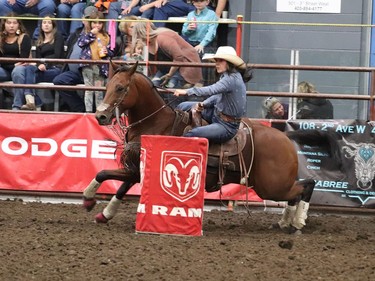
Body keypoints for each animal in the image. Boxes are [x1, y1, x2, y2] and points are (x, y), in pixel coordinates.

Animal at [83, 62, 316, 233]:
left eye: (120, 88)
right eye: (107, 87)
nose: (100, 116)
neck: (158, 123)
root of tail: (285, 138)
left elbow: (103, 173)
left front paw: (88, 198)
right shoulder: (136, 168)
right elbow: (121, 186)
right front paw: (105, 214)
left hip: (271, 186)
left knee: (305, 187)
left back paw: (298, 221)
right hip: (272, 184)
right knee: (299, 190)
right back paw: (286, 222)